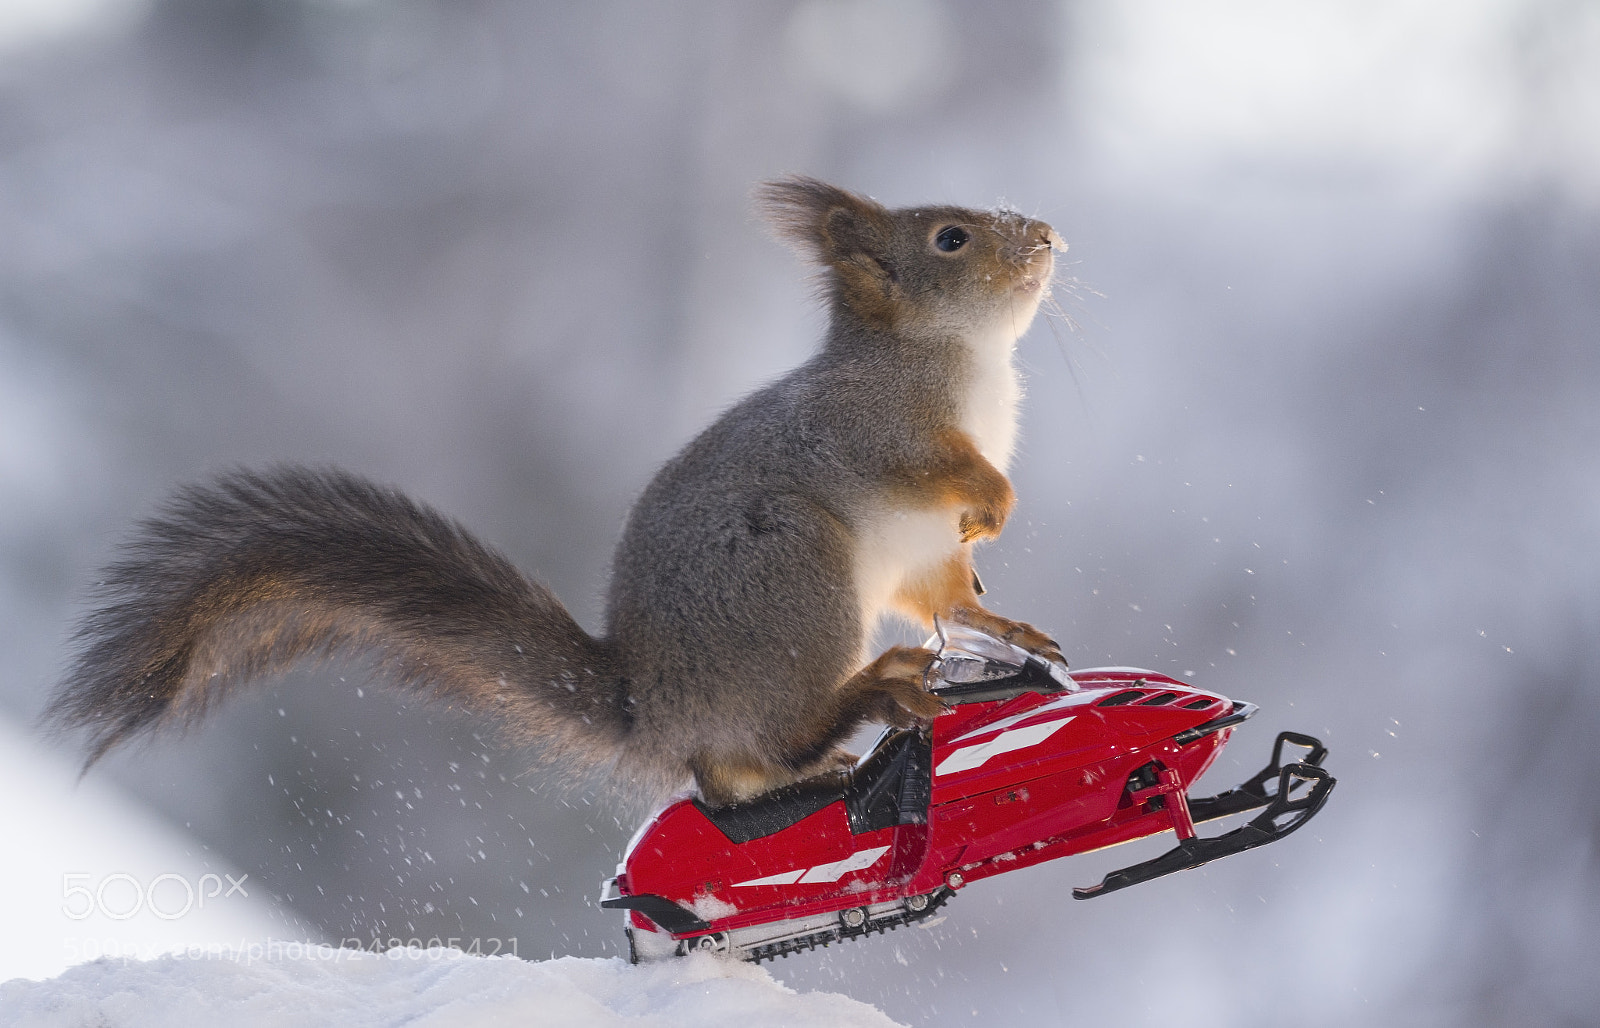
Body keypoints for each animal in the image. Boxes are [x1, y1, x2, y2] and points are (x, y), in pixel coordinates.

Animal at [46, 176, 1065, 808]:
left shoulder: (925, 551)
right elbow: (933, 469)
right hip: (788, 568)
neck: (968, 361)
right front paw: (998, 500)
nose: (1050, 235)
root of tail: (653, 708)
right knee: (771, 744)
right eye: (951, 238)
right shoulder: (871, 431)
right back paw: (872, 693)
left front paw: (1006, 624)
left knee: (736, 776)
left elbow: (943, 595)